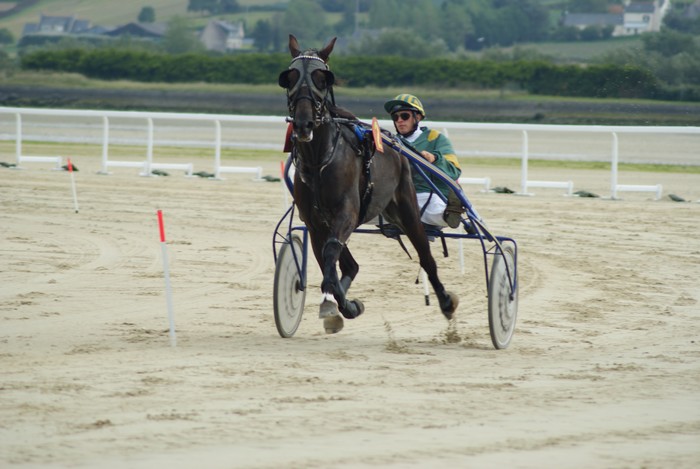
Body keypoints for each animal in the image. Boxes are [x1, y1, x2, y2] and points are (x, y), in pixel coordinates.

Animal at [278, 35, 460, 332]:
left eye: (322, 79)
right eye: (290, 77)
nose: (304, 124)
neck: (319, 161)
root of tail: (397, 144)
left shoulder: (347, 212)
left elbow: (331, 252)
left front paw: (333, 302)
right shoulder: (315, 222)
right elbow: (329, 260)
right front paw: (343, 304)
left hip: (407, 208)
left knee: (426, 257)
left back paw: (445, 301)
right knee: (350, 264)